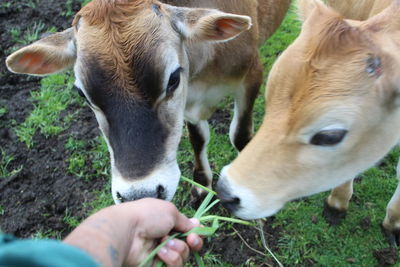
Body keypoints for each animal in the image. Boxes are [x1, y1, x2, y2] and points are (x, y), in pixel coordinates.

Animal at [6, 0, 290, 203]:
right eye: (82, 94)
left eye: (173, 79)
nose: (141, 194)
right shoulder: (188, 104)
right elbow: (198, 139)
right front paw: (202, 185)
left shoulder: (252, 74)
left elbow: (240, 135)